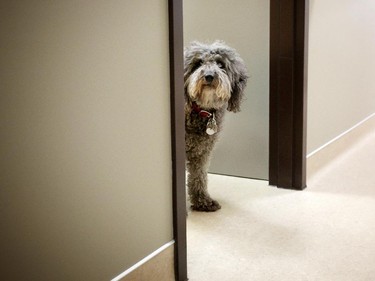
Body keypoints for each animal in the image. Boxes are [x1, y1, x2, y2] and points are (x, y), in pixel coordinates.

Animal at [186, 41, 250, 210]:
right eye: (198, 63)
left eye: (220, 64)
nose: (209, 76)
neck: (200, 111)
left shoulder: (202, 151)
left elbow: (199, 175)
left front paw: (202, 201)